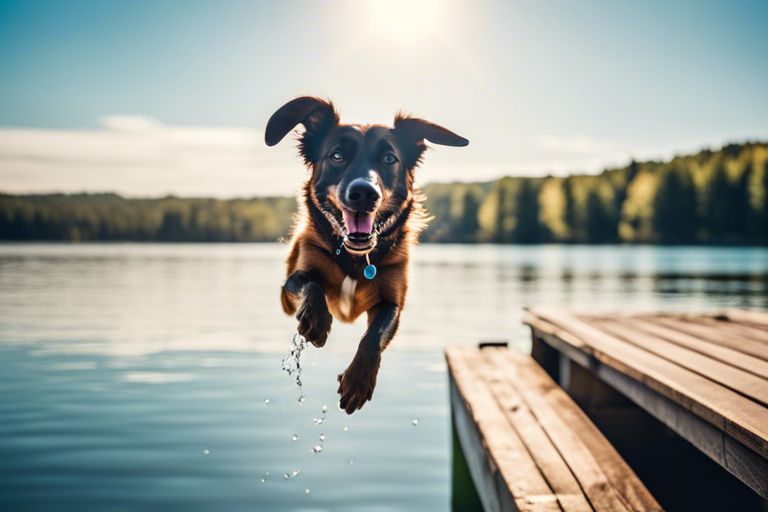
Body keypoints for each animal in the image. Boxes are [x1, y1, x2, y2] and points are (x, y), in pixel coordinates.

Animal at [264, 96, 468, 414]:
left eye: (389, 159)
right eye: (336, 155)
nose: (364, 193)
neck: (357, 258)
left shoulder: (392, 301)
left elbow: (374, 335)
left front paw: (358, 380)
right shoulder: (287, 290)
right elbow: (309, 284)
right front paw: (316, 321)